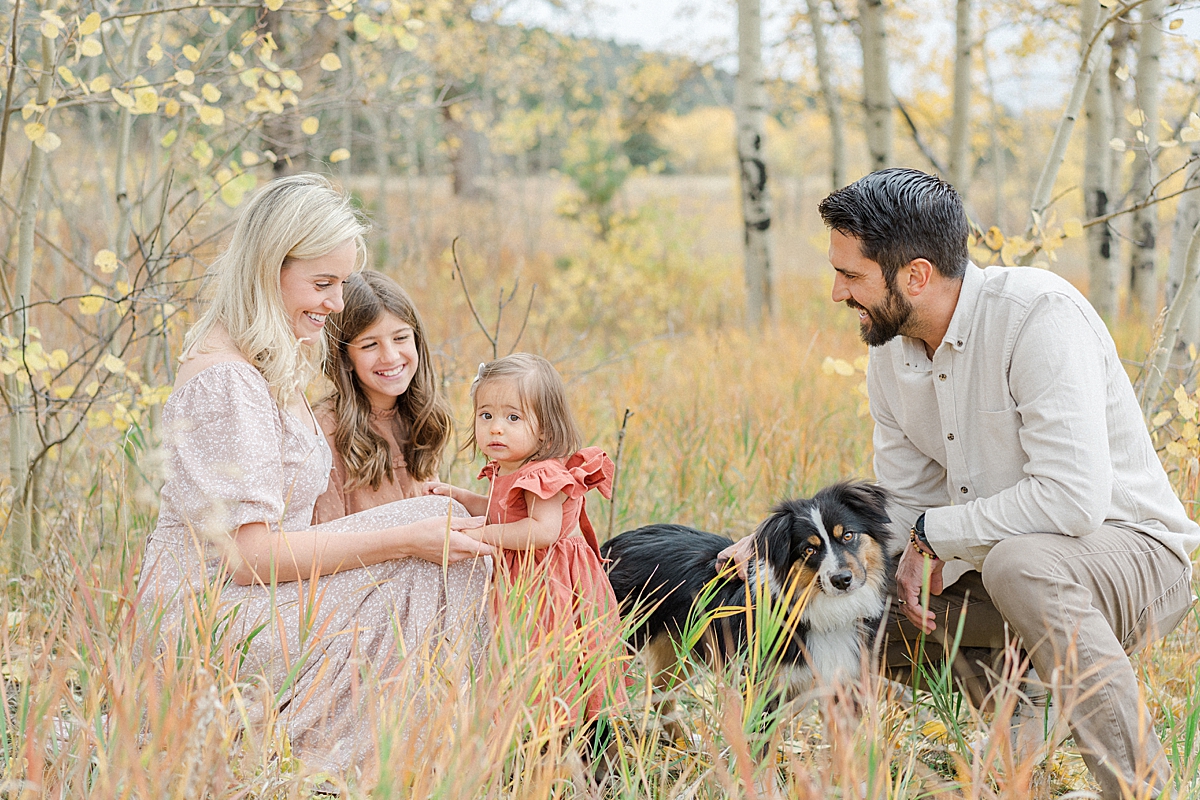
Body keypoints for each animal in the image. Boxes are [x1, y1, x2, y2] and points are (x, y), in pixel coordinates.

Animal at [604, 479, 897, 743]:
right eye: (809, 549)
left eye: (848, 535)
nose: (842, 579)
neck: (818, 611)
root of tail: (611, 544)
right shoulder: (763, 688)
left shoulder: (844, 686)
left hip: (680, 646)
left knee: (660, 695)